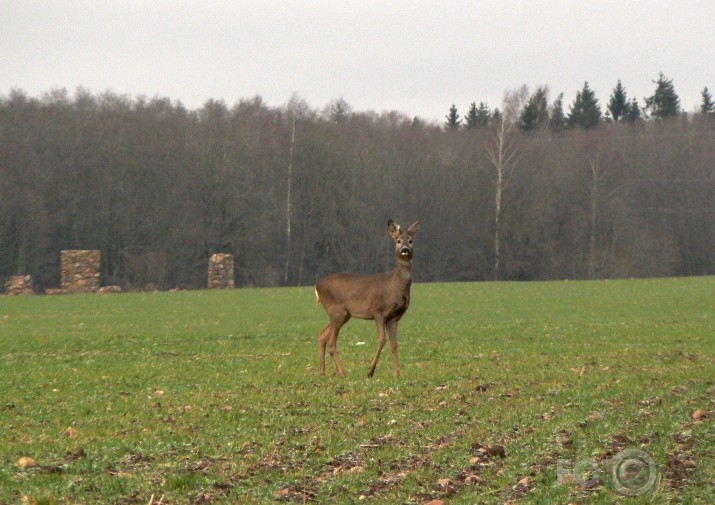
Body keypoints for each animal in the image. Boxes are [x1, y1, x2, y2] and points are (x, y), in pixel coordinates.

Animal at [314, 219, 420, 376]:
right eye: (398, 241)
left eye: (411, 241)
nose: (405, 249)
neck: (395, 284)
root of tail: (317, 286)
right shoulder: (379, 311)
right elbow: (382, 340)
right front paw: (370, 370)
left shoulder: (395, 317)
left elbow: (394, 344)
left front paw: (397, 374)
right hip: (337, 311)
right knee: (331, 341)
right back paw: (342, 373)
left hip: (342, 314)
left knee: (322, 335)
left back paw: (322, 372)